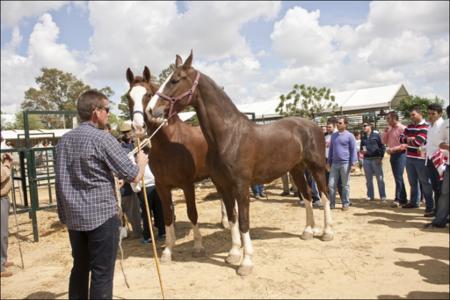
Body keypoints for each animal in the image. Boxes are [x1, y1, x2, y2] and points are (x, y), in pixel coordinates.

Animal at [125, 67, 229, 262]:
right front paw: (167, 251)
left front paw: (198, 246)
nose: (139, 127)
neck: (170, 143)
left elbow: (192, 212)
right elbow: (167, 216)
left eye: (148, 94)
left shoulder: (187, 185)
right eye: (129, 96)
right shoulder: (162, 186)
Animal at [148, 51, 334, 274]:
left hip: (316, 167)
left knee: (324, 194)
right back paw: (307, 231)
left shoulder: (241, 186)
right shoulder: (222, 185)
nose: (151, 111)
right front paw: (233, 253)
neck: (229, 136)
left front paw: (246, 263)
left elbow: (244, 221)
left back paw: (327, 232)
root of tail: (312, 124)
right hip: (296, 169)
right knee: (306, 196)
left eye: (175, 80)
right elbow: (232, 217)